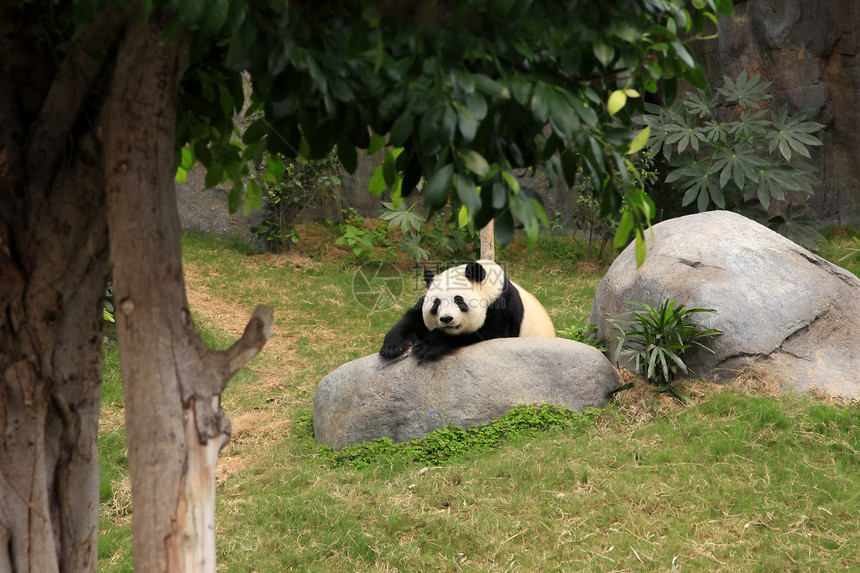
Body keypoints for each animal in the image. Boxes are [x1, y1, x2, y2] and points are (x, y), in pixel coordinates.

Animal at [380, 262, 556, 360]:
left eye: (459, 301)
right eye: (436, 304)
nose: (446, 319)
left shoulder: (502, 308)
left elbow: (482, 333)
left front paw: (426, 347)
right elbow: (412, 320)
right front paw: (392, 346)